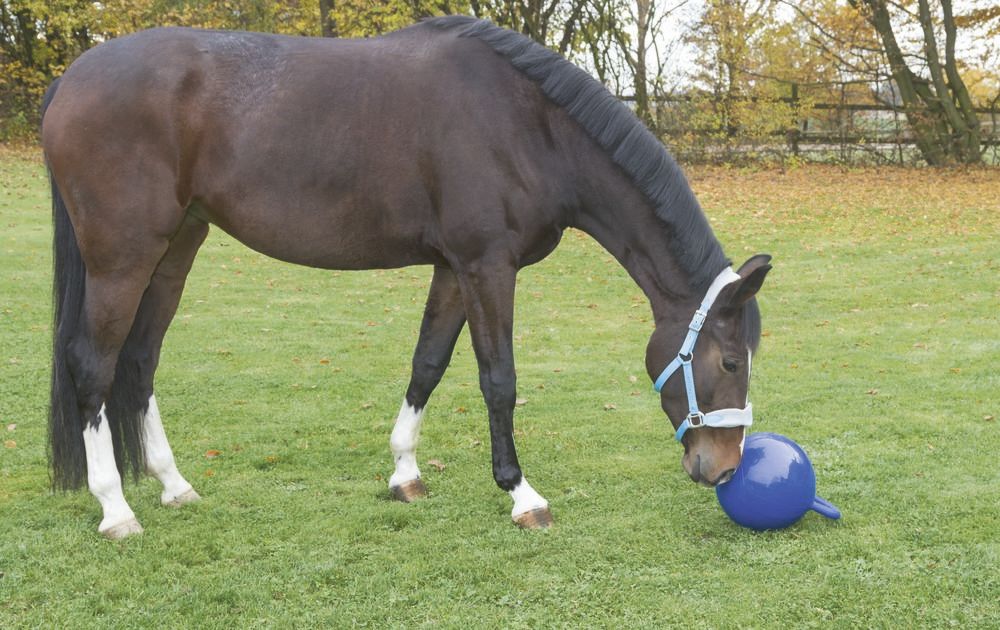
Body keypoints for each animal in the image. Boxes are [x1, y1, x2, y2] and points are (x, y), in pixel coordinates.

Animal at [41, 16, 772, 540]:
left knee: (139, 361)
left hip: (175, 250)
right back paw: (116, 510)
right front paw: (522, 494)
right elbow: (498, 380)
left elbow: (428, 363)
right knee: (92, 365)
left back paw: (174, 486)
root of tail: (73, 78)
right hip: (122, 257)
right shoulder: (486, 266)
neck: (527, 126)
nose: (724, 467)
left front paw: (404, 473)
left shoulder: (453, 268)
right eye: (730, 361)